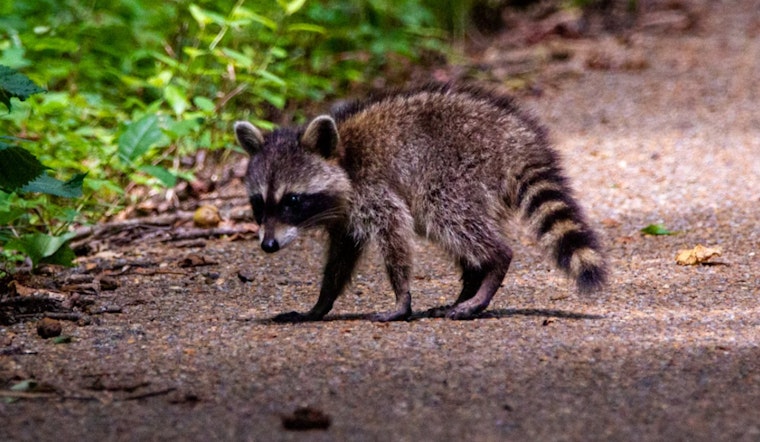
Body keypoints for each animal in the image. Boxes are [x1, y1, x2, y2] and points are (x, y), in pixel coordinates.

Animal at [234, 83, 606, 322]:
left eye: (292, 200)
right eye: (259, 204)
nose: (268, 245)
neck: (343, 157)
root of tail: (517, 138)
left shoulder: (372, 189)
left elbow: (395, 230)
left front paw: (401, 298)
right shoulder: (345, 217)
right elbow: (340, 257)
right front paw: (320, 304)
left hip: (457, 170)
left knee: (448, 216)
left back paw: (490, 269)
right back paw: (470, 283)